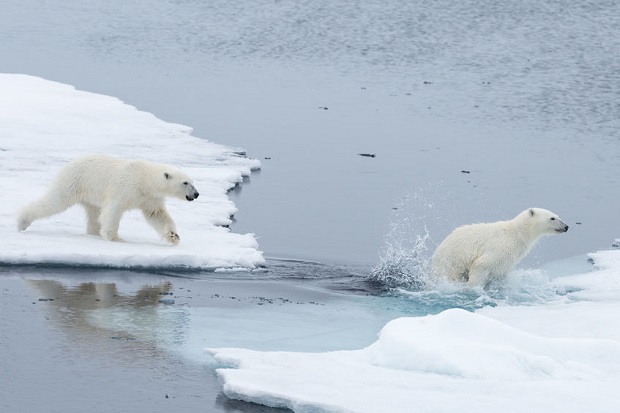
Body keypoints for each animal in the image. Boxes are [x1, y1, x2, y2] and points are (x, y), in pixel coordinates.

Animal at [15, 154, 199, 245]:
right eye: (185, 182)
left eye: (192, 181)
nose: (196, 194)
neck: (145, 180)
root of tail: (69, 164)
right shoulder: (126, 187)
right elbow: (113, 210)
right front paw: (115, 238)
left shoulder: (150, 197)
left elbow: (157, 215)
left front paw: (174, 236)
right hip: (74, 182)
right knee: (55, 201)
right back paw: (22, 221)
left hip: (90, 195)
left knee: (93, 213)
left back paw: (94, 232)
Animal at [432, 208, 568, 284]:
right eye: (552, 218)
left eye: (558, 216)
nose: (566, 226)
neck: (517, 234)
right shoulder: (501, 246)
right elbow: (481, 265)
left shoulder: (509, 259)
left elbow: (500, 272)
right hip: (451, 262)